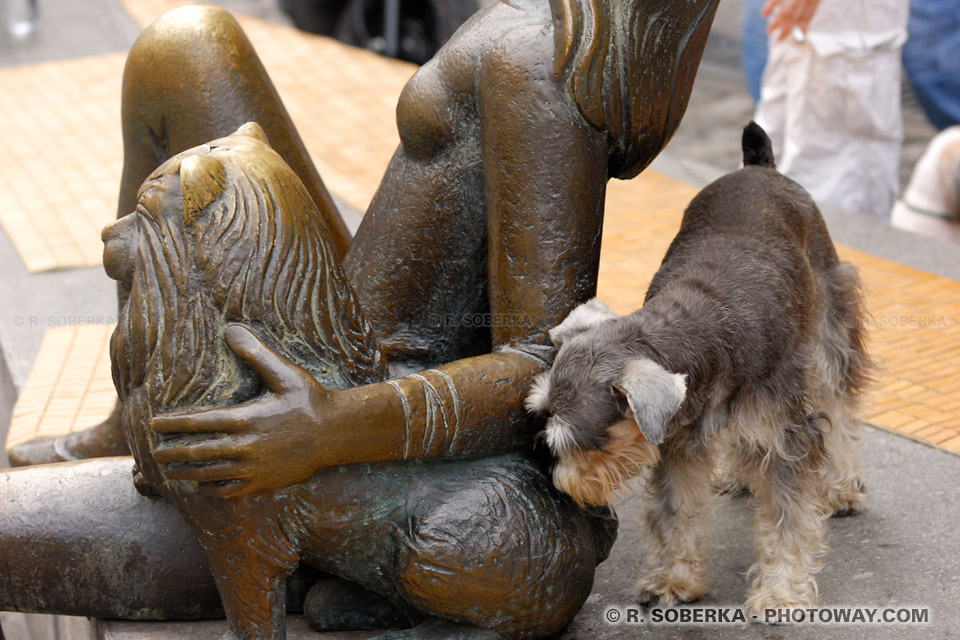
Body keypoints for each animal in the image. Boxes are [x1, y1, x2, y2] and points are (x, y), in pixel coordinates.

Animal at [524, 121, 872, 616]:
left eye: (579, 440)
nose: (560, 484)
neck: (703, 331)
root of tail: (758, 167)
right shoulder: (678, 444)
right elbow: (676, 512)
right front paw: (674, 579)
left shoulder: (786, 439)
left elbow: (787, 521)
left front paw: (780, 593)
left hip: (830, 330)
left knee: (840, 407)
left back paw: (842, 488)